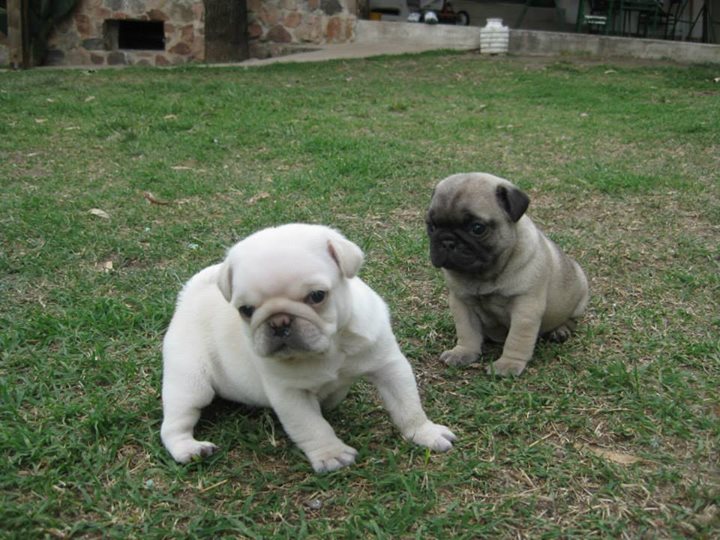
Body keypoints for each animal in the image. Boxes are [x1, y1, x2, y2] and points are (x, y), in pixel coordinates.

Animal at [163, 224, 456, 472]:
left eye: (317, 296)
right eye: (246, 310)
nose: (279, 321)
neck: (330, 348)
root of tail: (187, 297)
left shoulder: (388, 366)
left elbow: (408, 405)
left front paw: (425, 433)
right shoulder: (291, 394)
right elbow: (312, 427)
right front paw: (331, 455)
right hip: (190, 383)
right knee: (173, 425)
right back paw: (189, 449)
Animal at [424, 173, 588, 376]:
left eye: (477, 228)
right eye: (431, 226)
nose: (447, 241)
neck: (484, 275)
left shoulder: (525, 309)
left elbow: (516, 340)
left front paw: (508, 364)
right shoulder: (461, 304)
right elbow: (466, 332)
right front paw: (463, 352)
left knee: (571, 319)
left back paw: (560, 330)